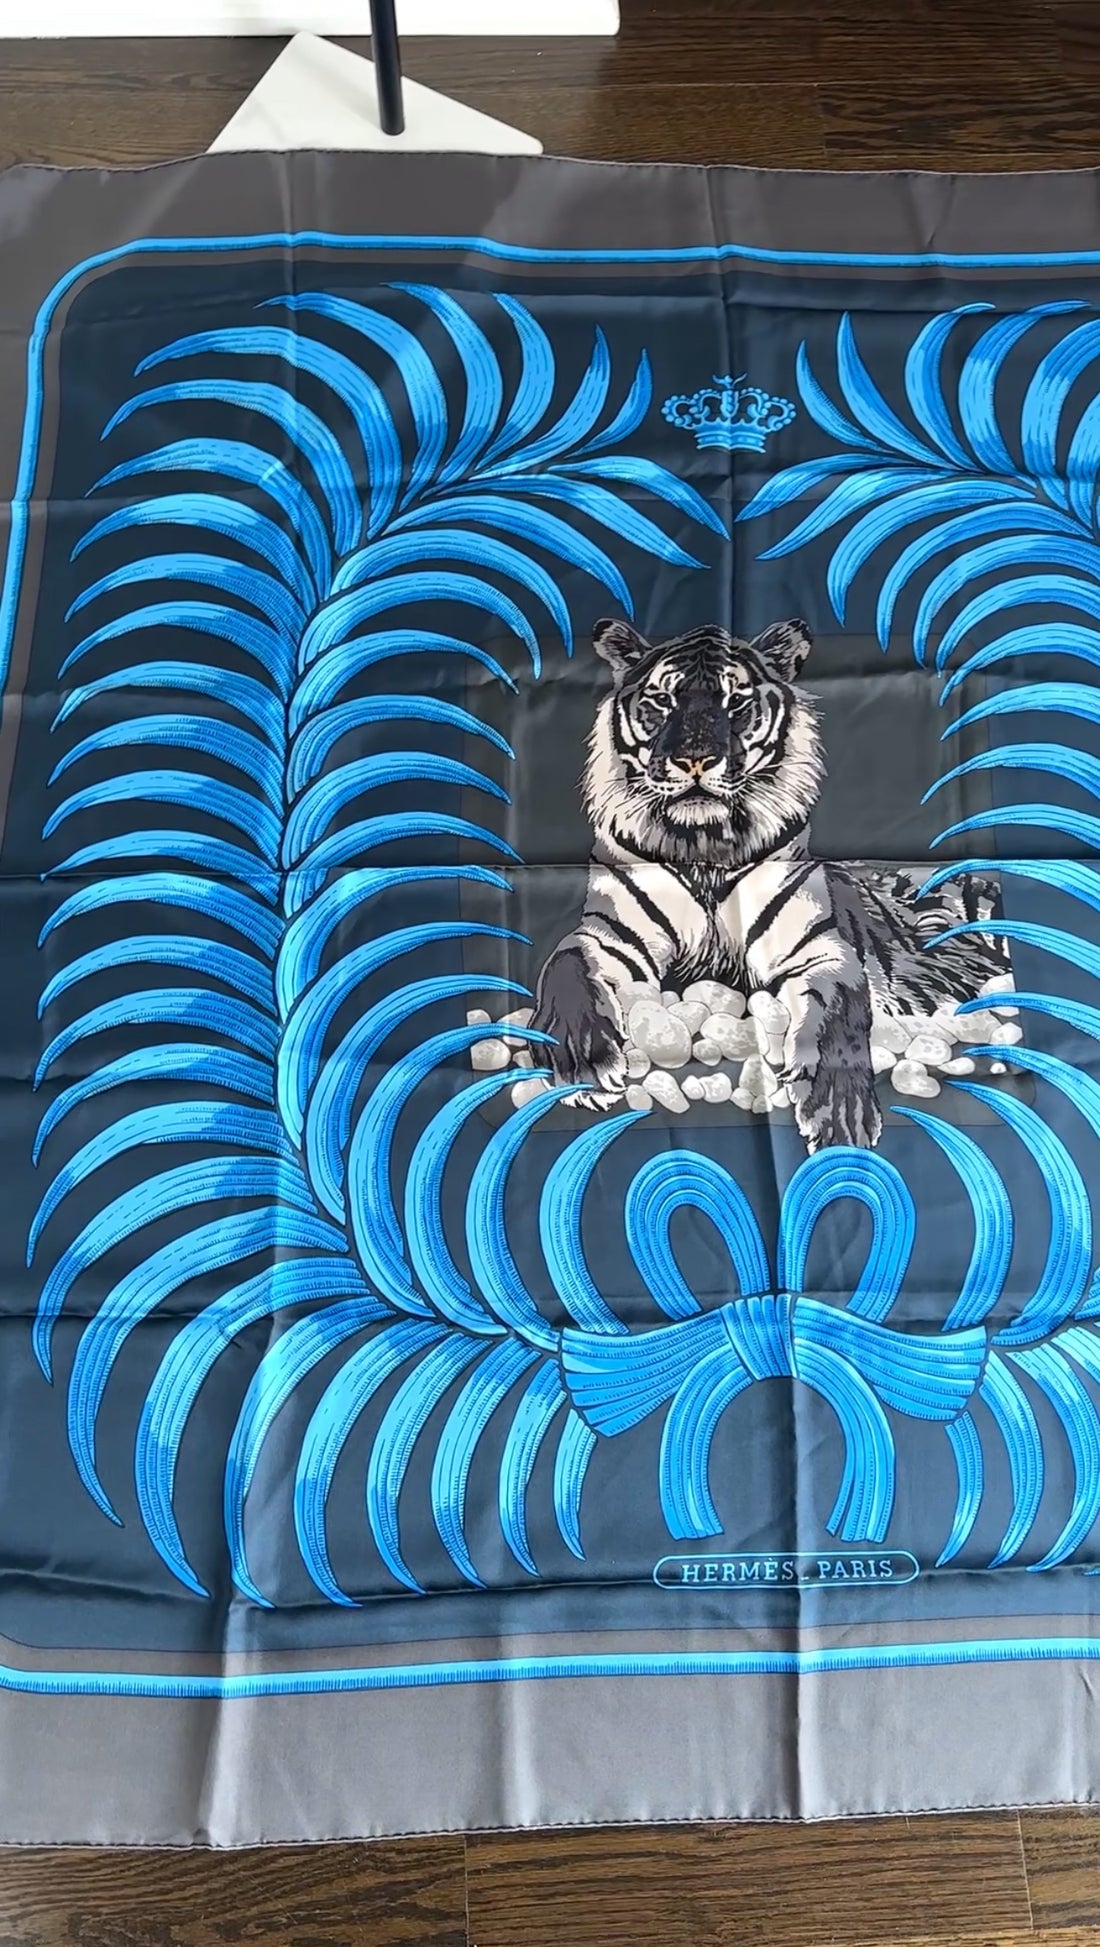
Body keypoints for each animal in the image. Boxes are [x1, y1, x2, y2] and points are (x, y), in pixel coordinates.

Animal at [530, 616, 1008, 1152]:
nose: (696, 761)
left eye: (735, 702)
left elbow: (838, 1018)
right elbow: (566, 964)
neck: (704, 848)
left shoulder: (818, 950)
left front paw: (841, 1112)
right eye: (663, 700)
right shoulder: (611, 936)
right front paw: (583, 1060)